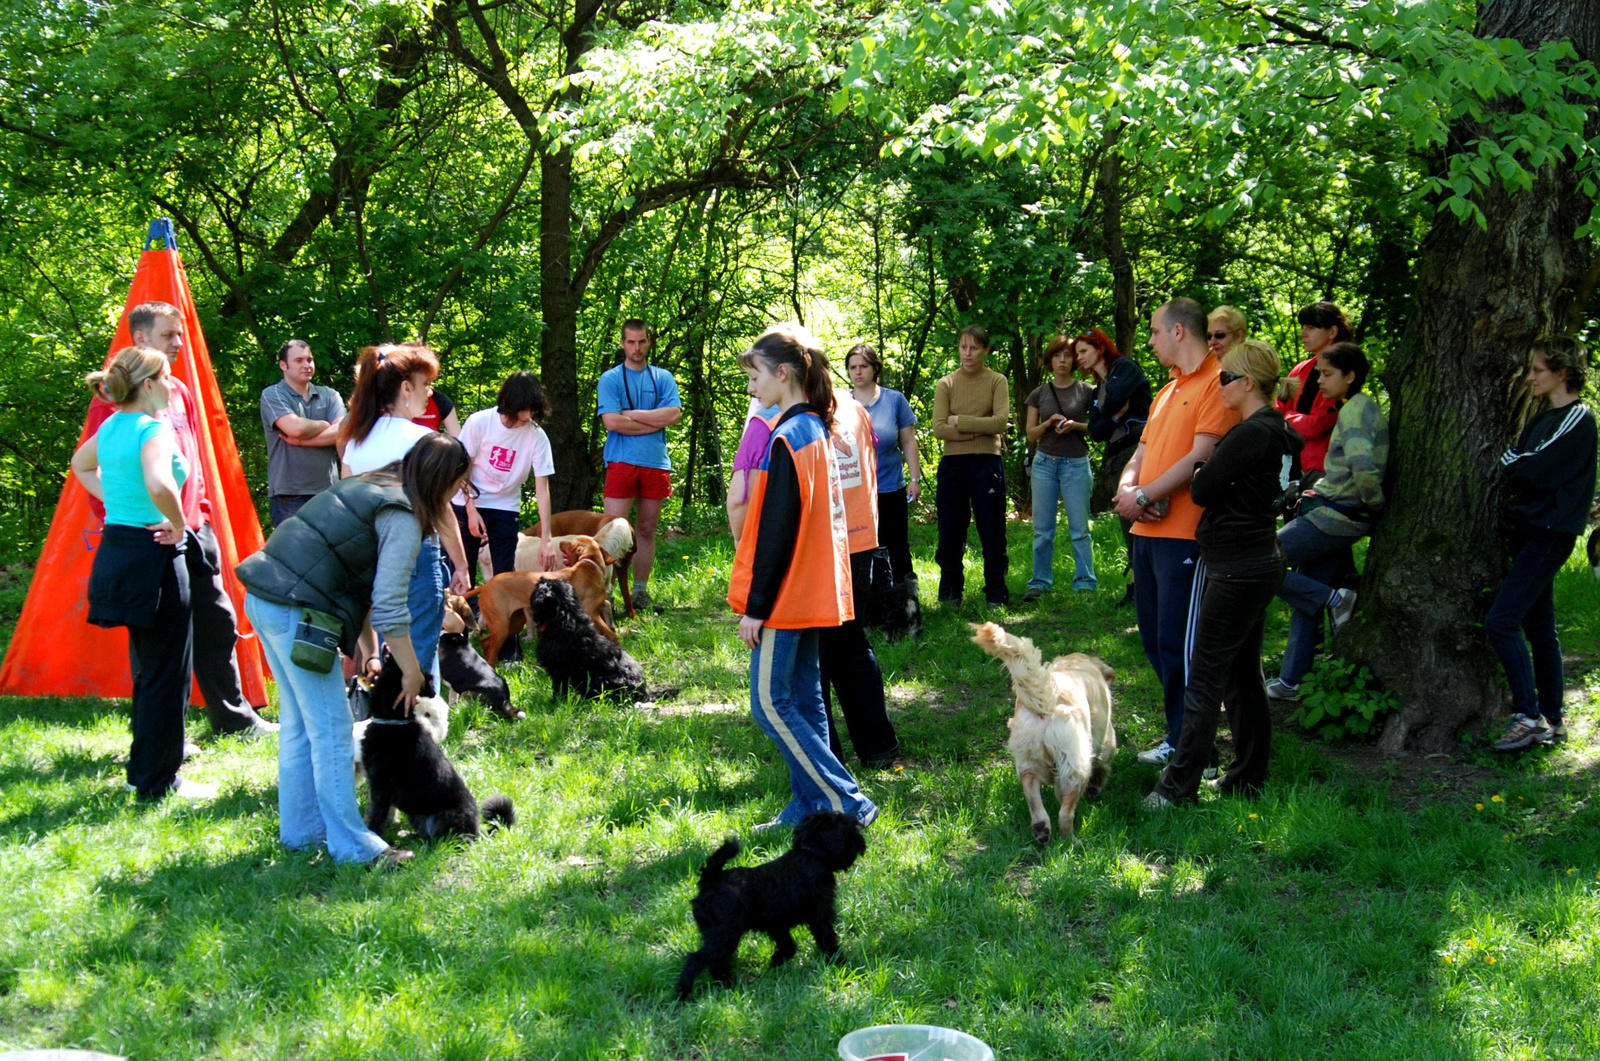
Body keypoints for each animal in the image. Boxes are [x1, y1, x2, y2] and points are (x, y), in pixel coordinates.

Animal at [361, 652, 512, 844]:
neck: (394, 721)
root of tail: (478, 832)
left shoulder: (380, 787)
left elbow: (373, 816)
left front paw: (372, 836)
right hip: (416, 814)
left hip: (444, 818)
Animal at [464, 540, 617, 665]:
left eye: (570, 543)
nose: (561, 542)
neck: (589, 565)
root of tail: (486, 585)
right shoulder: (592, 613)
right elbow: (611, 635)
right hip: (501, 626)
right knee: (490, 653)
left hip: (513, 624)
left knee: (485, 641)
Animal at [528, 572, 646, 704]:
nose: (542, 577)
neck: (564, 615)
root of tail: (643, 693)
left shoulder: (559, 670)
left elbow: (559, 688)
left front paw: (555, 702)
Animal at [675, 812, 876, 1004]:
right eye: (847, 826)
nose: (861, 840)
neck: (810, 855)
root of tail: (711, 880)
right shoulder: (820, 917)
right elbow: (828, 940)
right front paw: (840, 963)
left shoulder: (777, 925)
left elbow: (788, 945)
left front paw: (777, 960)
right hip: (725, 935)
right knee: (698, 958)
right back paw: (683, 993)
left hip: (720, 937)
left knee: (717, 963)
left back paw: (728, 984)